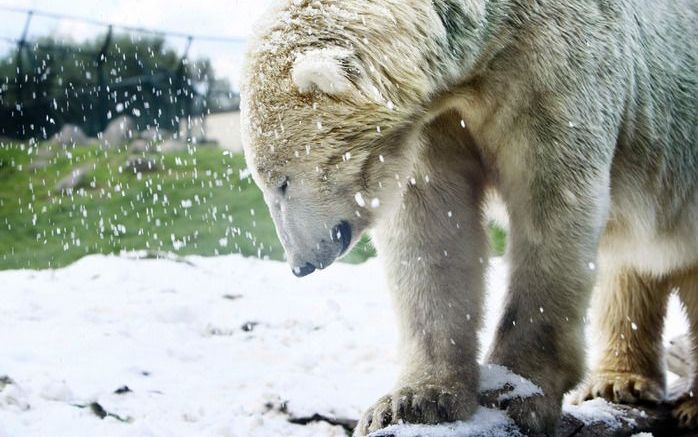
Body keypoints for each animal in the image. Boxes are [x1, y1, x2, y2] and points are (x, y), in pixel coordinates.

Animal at [238, 0, 692, 432]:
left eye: (280, 182)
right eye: (263, 181)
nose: (300, 264)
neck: (496, 27)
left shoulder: (559, 65)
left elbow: (552, 203)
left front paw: (518, 390)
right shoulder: (434, 121)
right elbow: (431, 228)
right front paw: (414, 401)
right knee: (629, 272)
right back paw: (619, 382)